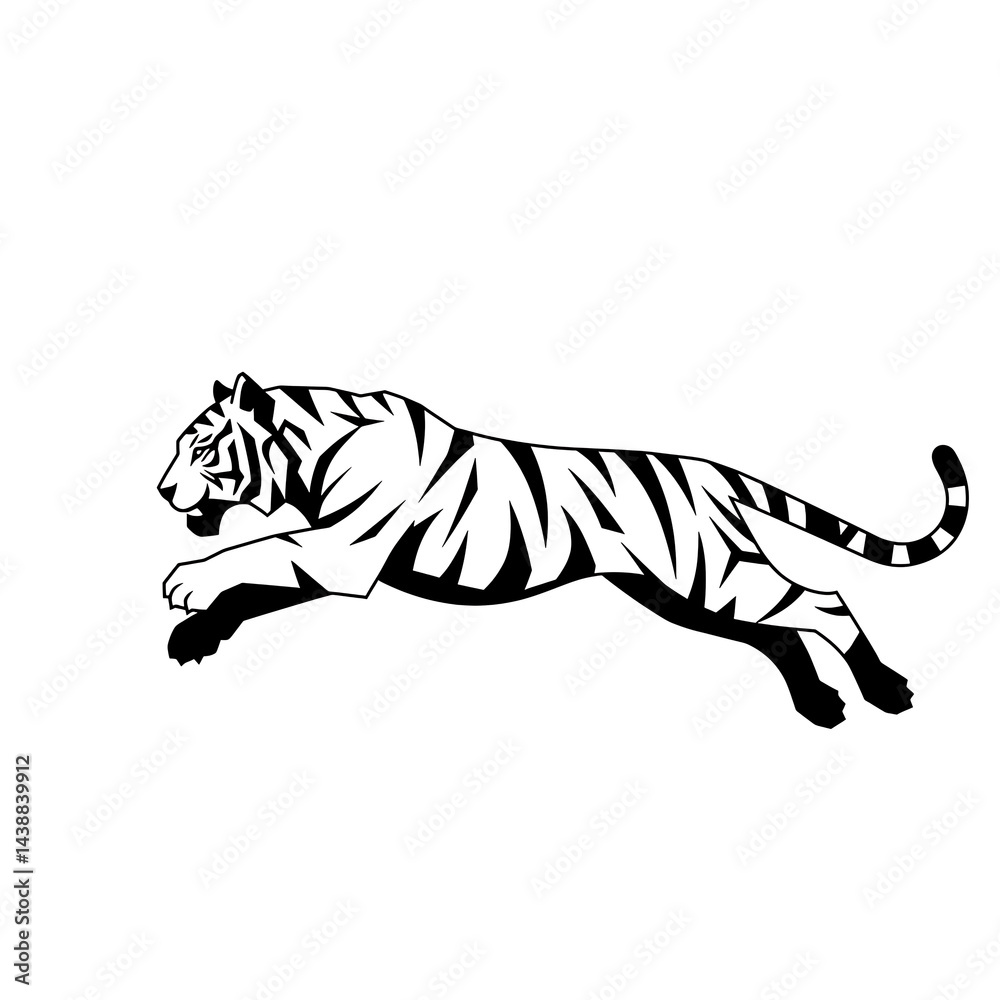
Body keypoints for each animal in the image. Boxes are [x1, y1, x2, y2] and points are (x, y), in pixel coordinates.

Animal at [158, 373, 968, 728]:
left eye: (201, 447)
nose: (163, 490)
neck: (307, 458)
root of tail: (707, 473)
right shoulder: (333, 556)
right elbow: (258, 587)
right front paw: (193, 636)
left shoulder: (343, 552)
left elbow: (254, 556)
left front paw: (186, 584)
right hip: (685, 590)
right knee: (778, 634)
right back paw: (821, 705)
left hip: (711, 574)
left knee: (824, 602)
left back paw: (885, 688)